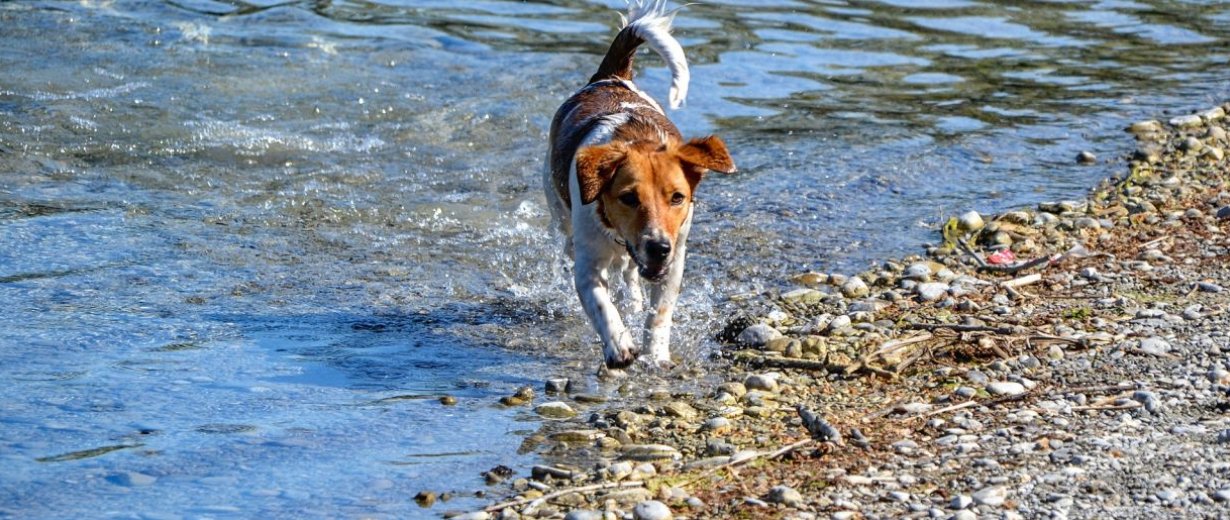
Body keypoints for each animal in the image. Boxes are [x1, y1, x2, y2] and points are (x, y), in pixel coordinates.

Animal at [546, 2, 733, 373]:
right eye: (628, 198)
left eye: (678, 198)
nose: (658, 247)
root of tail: (611, 77)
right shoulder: (588, 264)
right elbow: (601, 304)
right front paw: (619, 344)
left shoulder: (674, 261)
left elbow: (659, 314)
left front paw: (656, 354)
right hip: (556, 203)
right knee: (572, 244)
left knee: (630, 274)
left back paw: (632, 297)